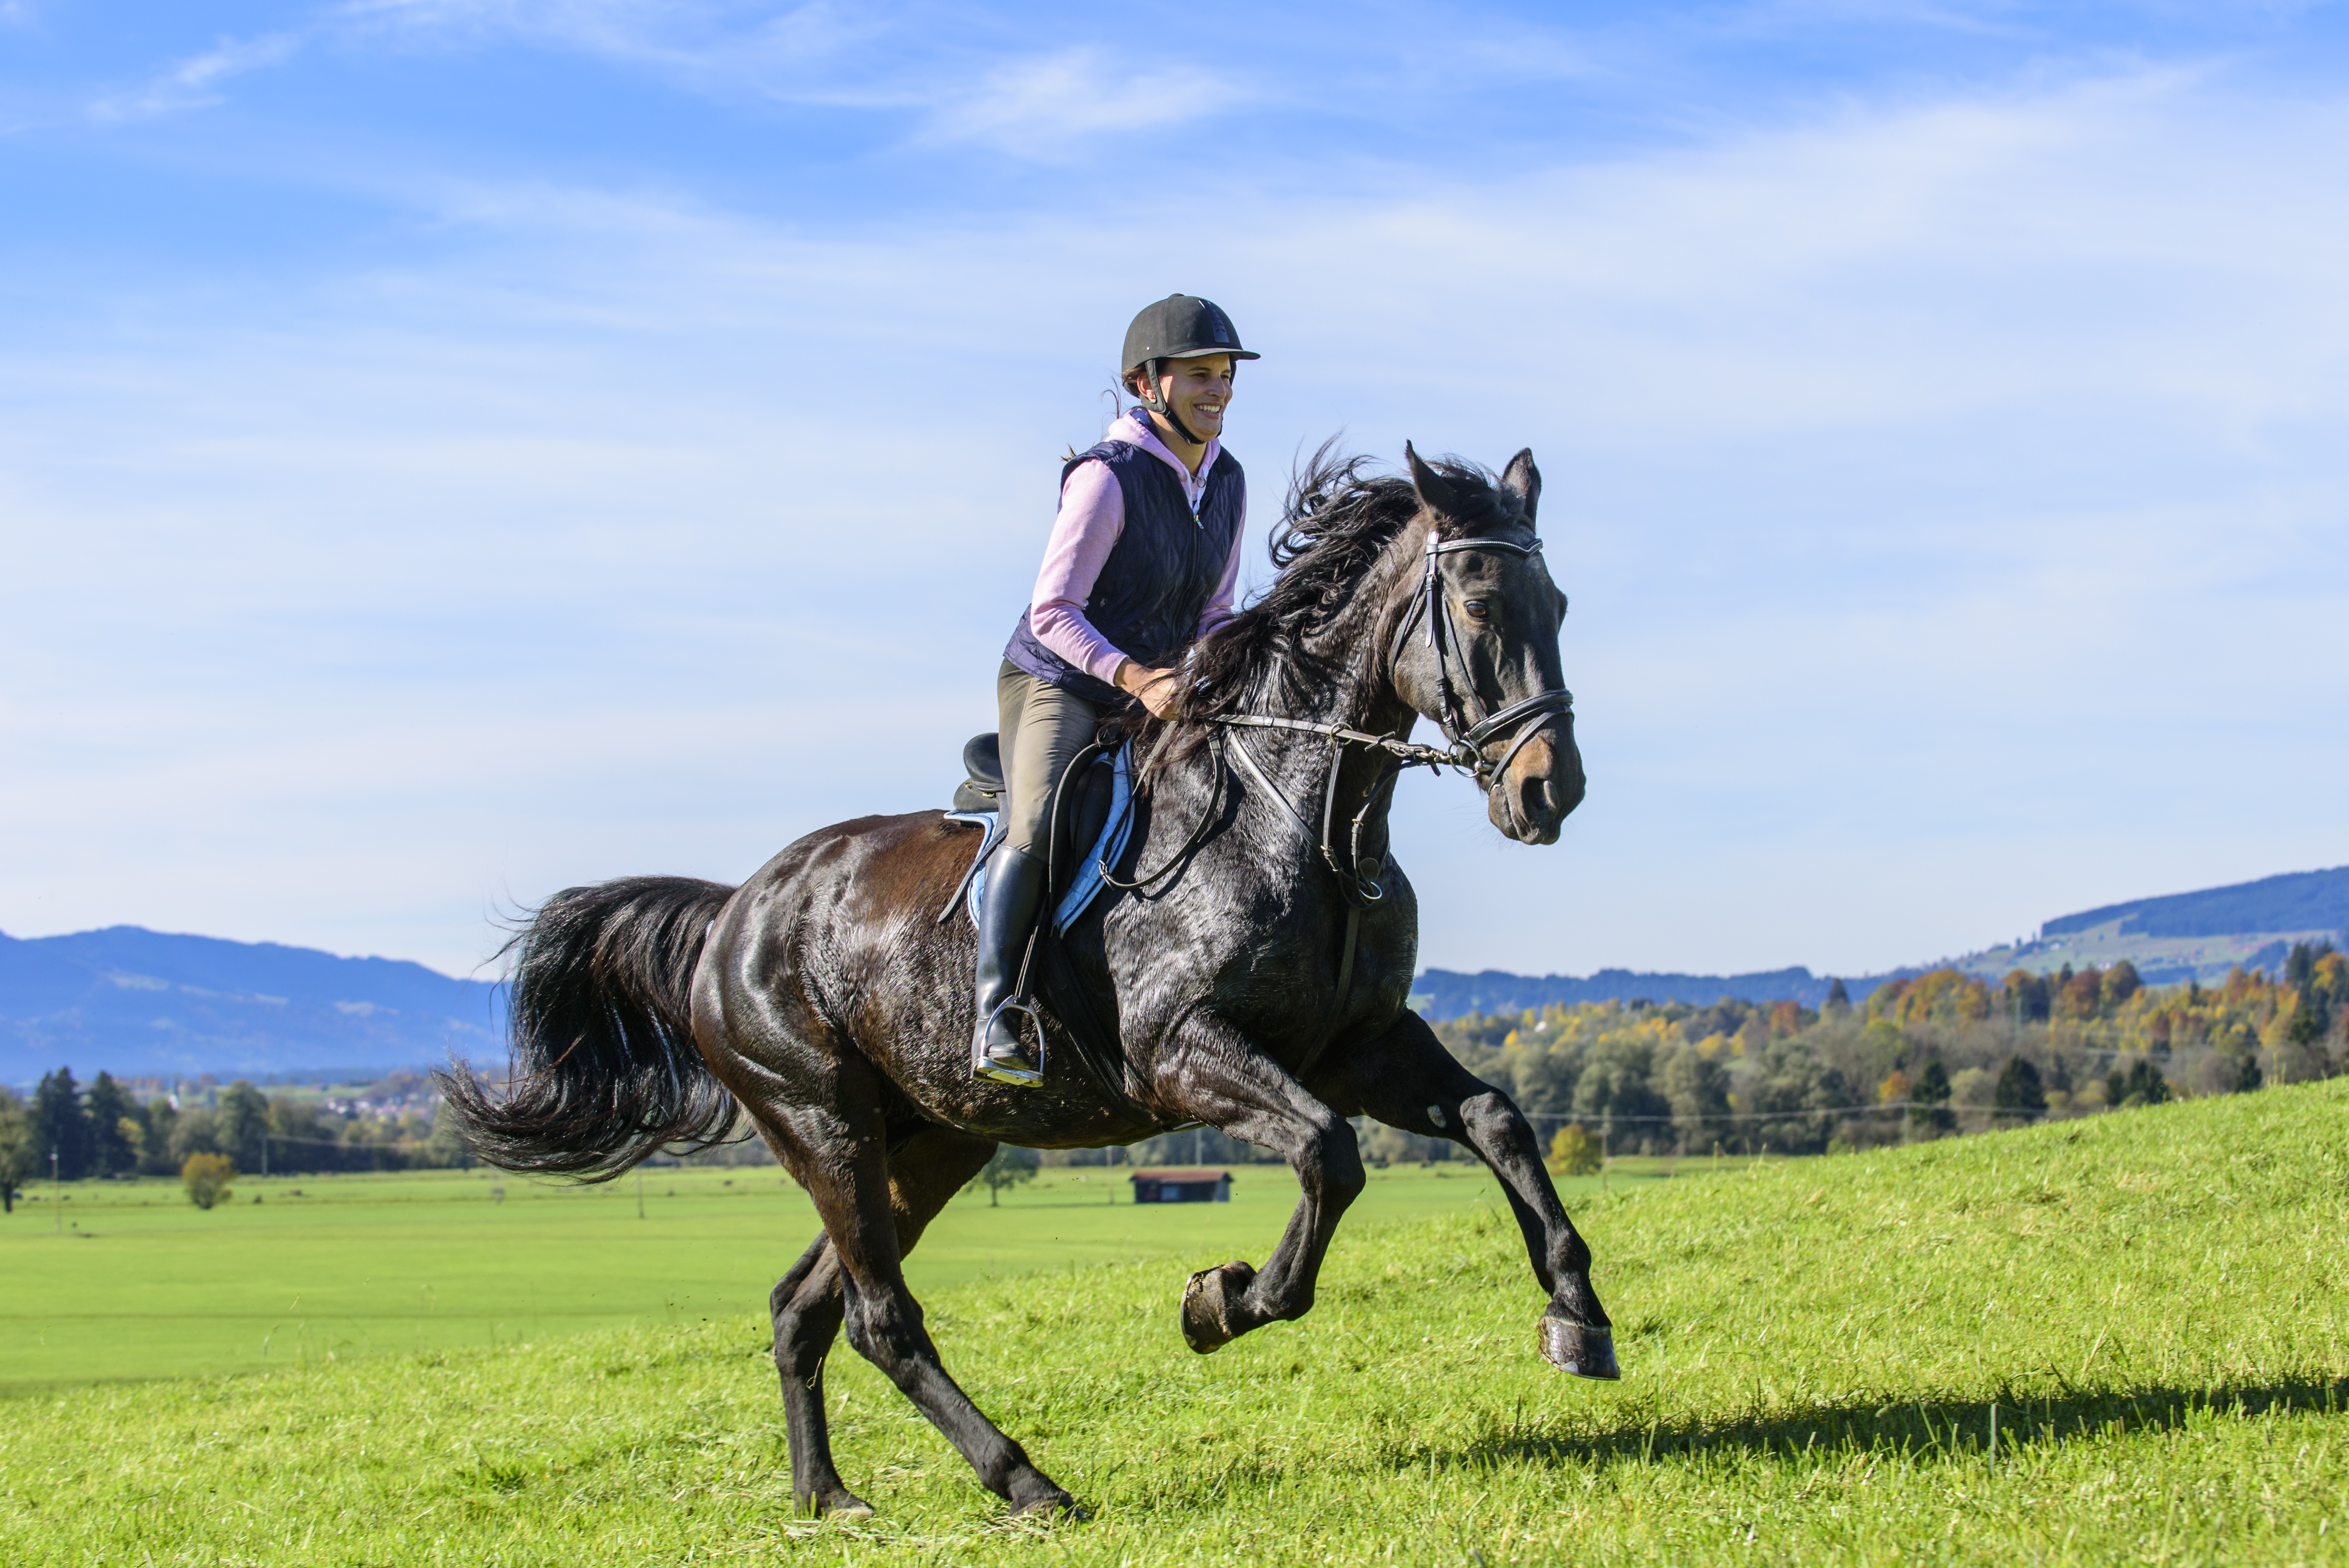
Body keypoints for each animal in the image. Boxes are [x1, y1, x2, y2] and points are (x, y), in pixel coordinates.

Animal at [441, 443, 1616, 1521]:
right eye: (1479, 604)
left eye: (1558, 602)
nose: (1549, 792)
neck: (1306, 820)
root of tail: (736, 909)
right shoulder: (1186, 1053)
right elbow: (1331, 1157)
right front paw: (1221, 1301)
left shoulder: (1358, 1043)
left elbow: (1497, 1118)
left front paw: (1578, 1318)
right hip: (820, 1121)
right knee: (880, 1317)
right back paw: (1026, 1481)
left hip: (928, 1141)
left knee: (803, 1306)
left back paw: (828, 1496)